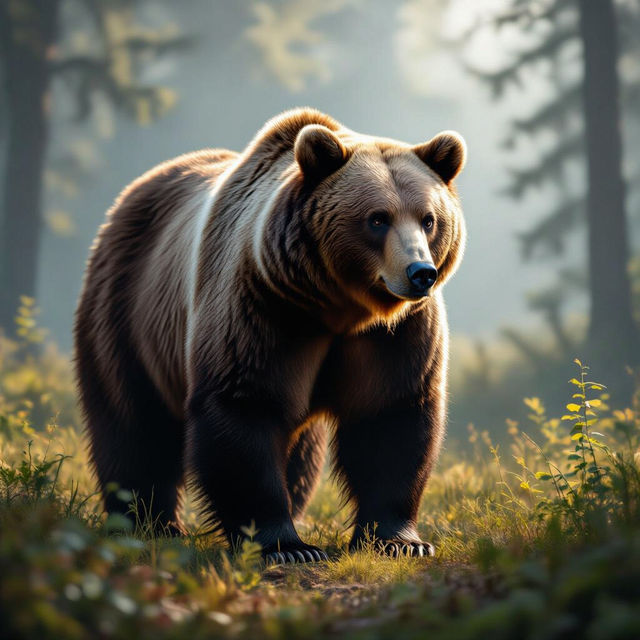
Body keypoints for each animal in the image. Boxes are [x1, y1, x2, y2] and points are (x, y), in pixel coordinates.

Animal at [74, 108, 466, 564]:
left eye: (429, 219)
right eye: (377, 218)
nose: (420, 273)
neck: (341, 310)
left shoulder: (395, 333)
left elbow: (391, 415)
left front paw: (401, 541)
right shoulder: (266, 305)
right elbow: (245, 405)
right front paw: (287, 546)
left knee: (300, 451)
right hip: (126, 312)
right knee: (133, 420)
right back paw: (149, 523)